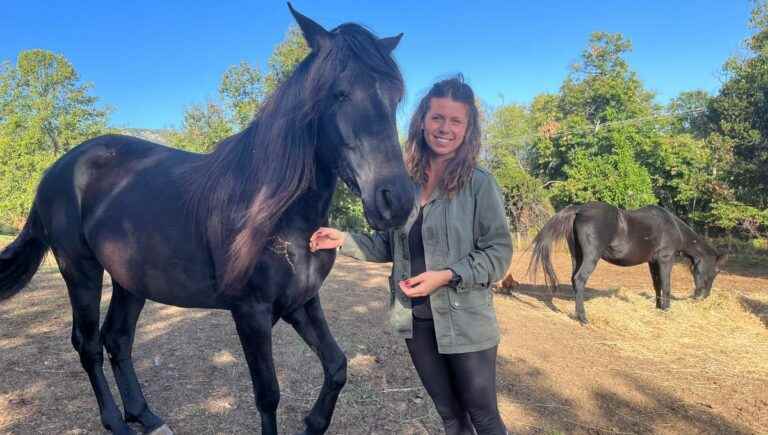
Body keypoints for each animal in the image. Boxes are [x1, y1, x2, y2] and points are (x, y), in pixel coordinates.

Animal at [0, 6, 414, 435]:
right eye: (338, 92)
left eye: (394, 96)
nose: (395, 200)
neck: (275, 211)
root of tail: (56, 170)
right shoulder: (250, 312)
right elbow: (268, 395)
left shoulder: (301, 302)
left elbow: (337, 366)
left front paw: (313, 422)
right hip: (80, 271)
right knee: (89, 344)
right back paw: (116, 421)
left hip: (130, 280)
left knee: (117, 338)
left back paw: (146, 416)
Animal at [528, 201, 728, 324]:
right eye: (716, 271)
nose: (703, 296)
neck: (673, 227)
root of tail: (579, 210)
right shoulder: (666, 259)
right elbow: (666, 285)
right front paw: (666, 310)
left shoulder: (652, 262)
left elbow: (657, 285)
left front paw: (658, 307)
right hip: (591, 257)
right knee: (580, 279)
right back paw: (583, 318)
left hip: (577, 256)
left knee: (574, 280)